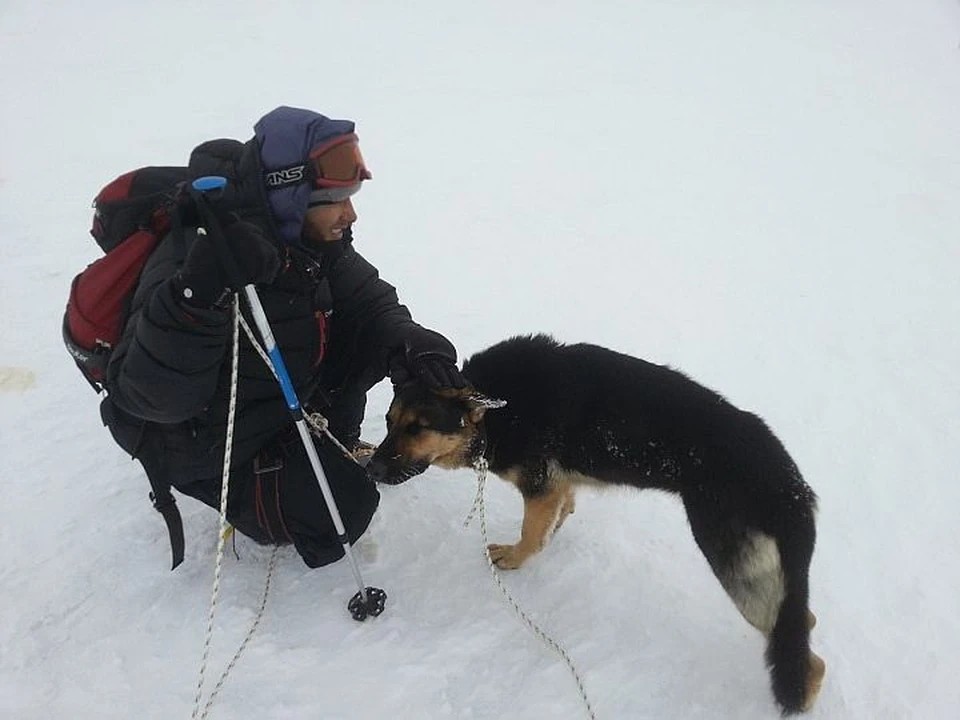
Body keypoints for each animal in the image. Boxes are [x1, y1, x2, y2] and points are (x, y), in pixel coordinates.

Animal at [368, 334, 824, 716]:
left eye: (417, 428)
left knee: (806, 657)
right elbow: (559, 512)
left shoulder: (539, 487)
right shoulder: (558, 484)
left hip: (735, 569)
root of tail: (793, 490)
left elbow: (531, 533)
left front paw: (515, 559)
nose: (369, 467)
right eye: (390, 421)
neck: (497, 412)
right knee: (803, 624)